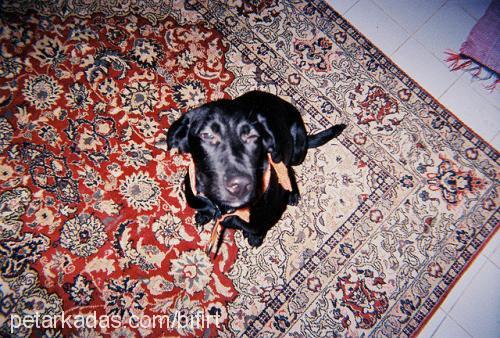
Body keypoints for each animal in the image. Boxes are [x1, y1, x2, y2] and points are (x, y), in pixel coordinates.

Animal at [166, 90, 346, 248]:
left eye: (252, 136)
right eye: (207, 135)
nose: (241, 186)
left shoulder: (262, 220)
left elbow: (257, 230)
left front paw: (254, 238)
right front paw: (203, 215)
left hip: (298, 151)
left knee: (289, 169)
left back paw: (293, 193)